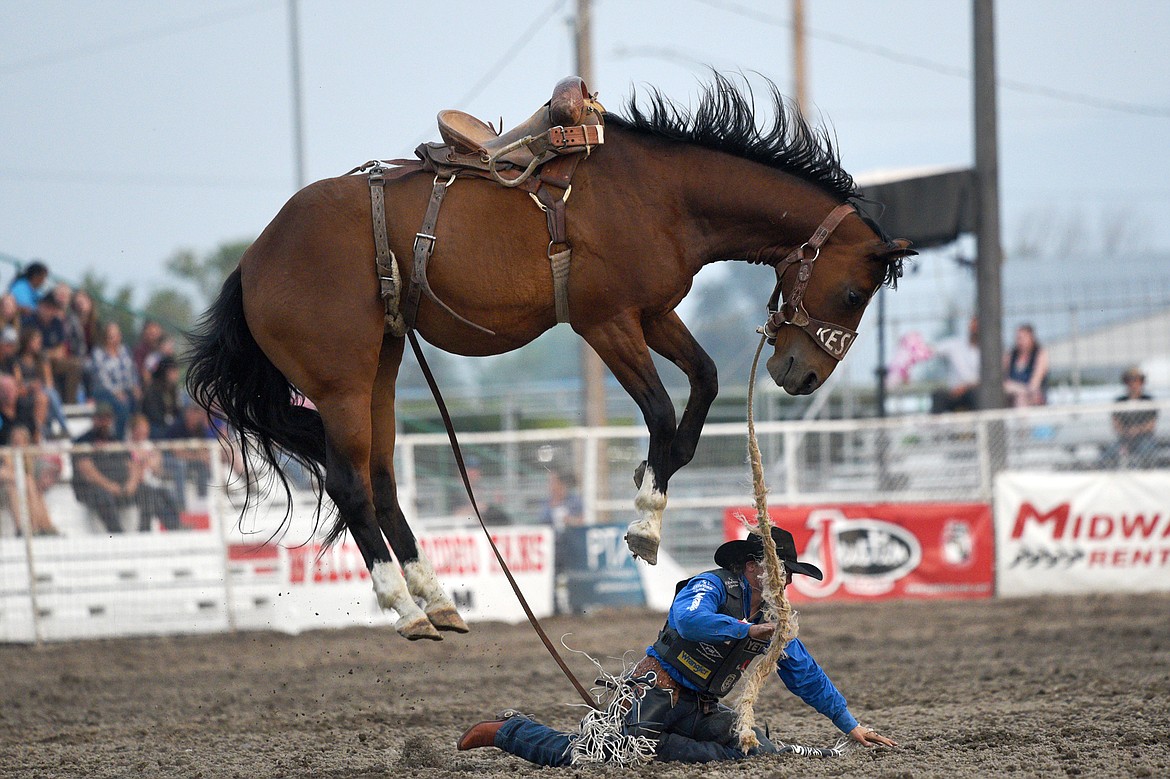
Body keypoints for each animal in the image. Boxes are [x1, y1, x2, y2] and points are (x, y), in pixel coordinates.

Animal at [184, 77, 912, 636]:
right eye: (853, 292)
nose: (803, 374)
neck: (663, 193)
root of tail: (255, 259)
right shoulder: (606, 321)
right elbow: (659, 409)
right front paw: (643, 526)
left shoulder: (653, 312)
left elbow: (699, 389)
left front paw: (650, 514)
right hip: (339, 379)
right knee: (349, 483)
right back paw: (404, 608)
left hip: (383, 366)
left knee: (382, 479)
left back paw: (438, 601)